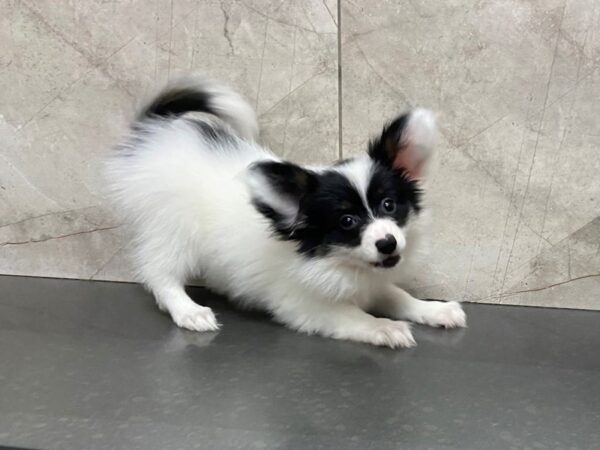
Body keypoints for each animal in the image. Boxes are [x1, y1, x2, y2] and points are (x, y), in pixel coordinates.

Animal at [105, 76, 466, 348]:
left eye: (389, 205)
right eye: (347, 221)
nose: (387, 243)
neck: (345, 265)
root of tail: (155, 137)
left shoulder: (373, 283)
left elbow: (399, 297)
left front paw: (435, 311)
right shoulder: (307, 305)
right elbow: (353, 316)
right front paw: (385, 328)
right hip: (172, 228)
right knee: (160, 273)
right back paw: (189, 311)